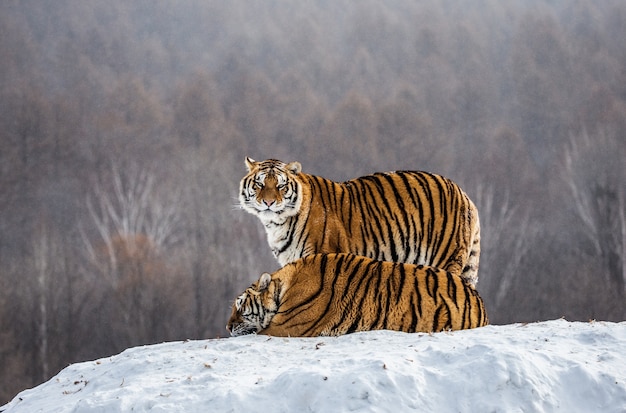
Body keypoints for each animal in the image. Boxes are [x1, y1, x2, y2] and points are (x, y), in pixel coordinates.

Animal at [238, 156, 478, 284]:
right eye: (259, 184)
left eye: (280, 185)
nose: (269, 202)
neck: (277, 224)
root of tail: (464, 194)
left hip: (445, 256)